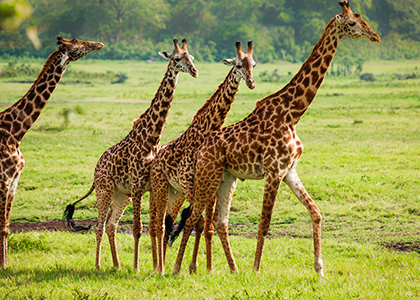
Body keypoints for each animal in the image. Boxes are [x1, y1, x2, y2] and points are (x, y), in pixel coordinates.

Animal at [0, 35, 104, 268]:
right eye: (78, 44)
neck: (16, 132)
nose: (99, 44)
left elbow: (6, 226)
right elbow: (2, 226)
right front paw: (2, 265)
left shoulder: (14, 181)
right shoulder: (3, 179)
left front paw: (5, 264)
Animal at [63, 38, 198, 270]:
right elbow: (137, 229)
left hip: (121, 195)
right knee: (99, 225)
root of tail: (95, 170)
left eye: (191, 57)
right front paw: (136, 268)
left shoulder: (150, 186)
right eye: (176, 58)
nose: (194, 70)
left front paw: (154, 266)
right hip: (105, 190)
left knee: (111, 224)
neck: (151, 138)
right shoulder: (137, 185)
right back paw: (98, 265)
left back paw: (116, 265)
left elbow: (154, 225)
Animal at [149, 41, 256, 276]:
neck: (206, 130)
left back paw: (163, 264)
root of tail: (156, 158)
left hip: (176, 194)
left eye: (253, 64)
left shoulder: (210, 188)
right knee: (157, 223)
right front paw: (191, 267)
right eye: (237, 65)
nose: (251, 83)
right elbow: (198, 222)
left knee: (167, 221)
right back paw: (158, 268)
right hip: (162, 188)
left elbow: (208, 226)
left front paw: (205, 268)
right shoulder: (191, 183)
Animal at [171, 0, 380, 276]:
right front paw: (256, 269)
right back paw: (179, 269)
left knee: (218, 220)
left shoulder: (289, 170)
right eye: (354, 22)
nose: (375, 36)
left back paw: (229, 269)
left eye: (363, 18)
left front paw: (319, 270)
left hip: (226, 178)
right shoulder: (274, 171)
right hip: (208, 176)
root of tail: (198, 149)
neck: (293, 114)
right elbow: (264, 222)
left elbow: (316, 212)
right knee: (194, 218)